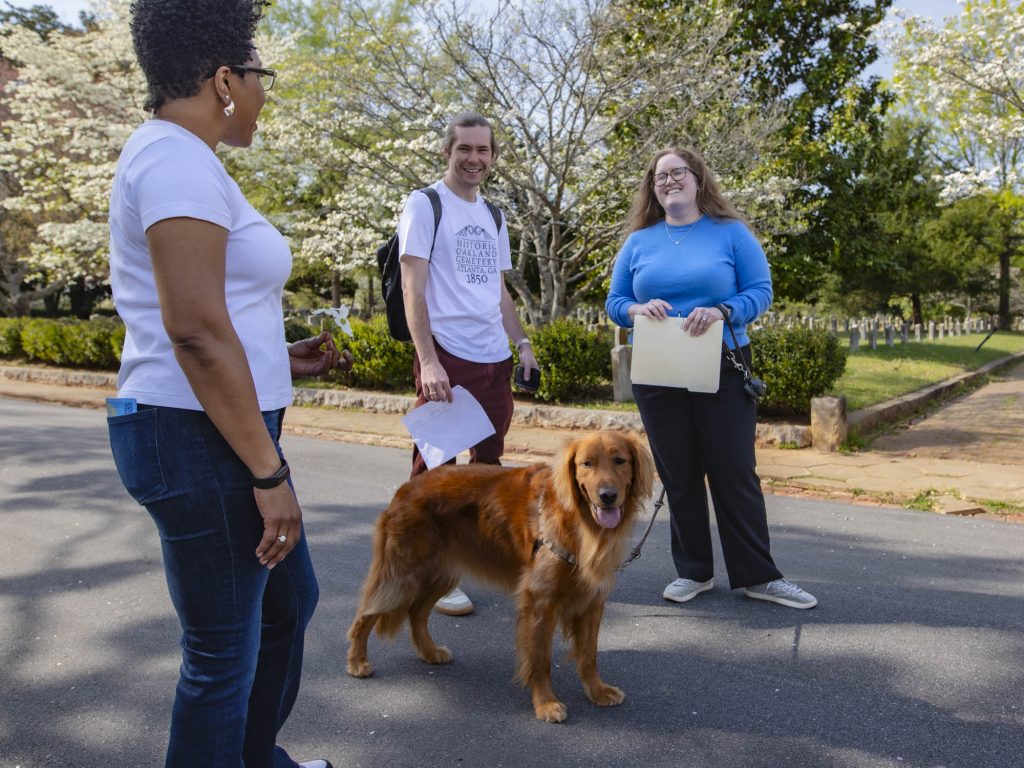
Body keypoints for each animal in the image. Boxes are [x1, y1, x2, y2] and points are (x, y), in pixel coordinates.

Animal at [346, 430, 655, 723]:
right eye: (587, 464)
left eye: (620, 461)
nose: (607, 495)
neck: (580, 521)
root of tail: (405, 488)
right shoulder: (541, 599)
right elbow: (540, 660)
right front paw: (546, 703)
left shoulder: (593, 599)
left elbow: (589, 655)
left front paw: (597, 691)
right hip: (401, 575)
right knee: (365, 615)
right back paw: (357, 662)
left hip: (441, 574)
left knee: (417, 613)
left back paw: (430, 652)